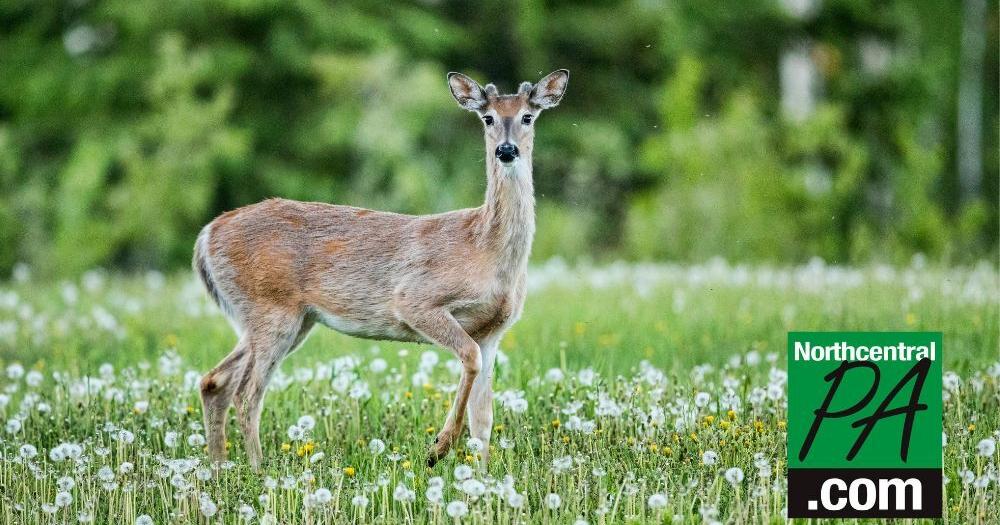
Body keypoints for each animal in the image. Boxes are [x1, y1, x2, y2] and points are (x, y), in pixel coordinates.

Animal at [192, 69, 569, 470]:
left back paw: (219, 470)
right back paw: (258, 470)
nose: (506, 150)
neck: (485, 249)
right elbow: (468, 358)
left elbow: (483, 417)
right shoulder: (415, 299)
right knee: (247, 393)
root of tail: (207, 235)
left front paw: (481, 477)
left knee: (214, 381)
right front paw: (438, 447)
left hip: (287, 319)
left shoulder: (493, 331)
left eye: (527, 116)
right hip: (270, 308)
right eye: (487, 118)